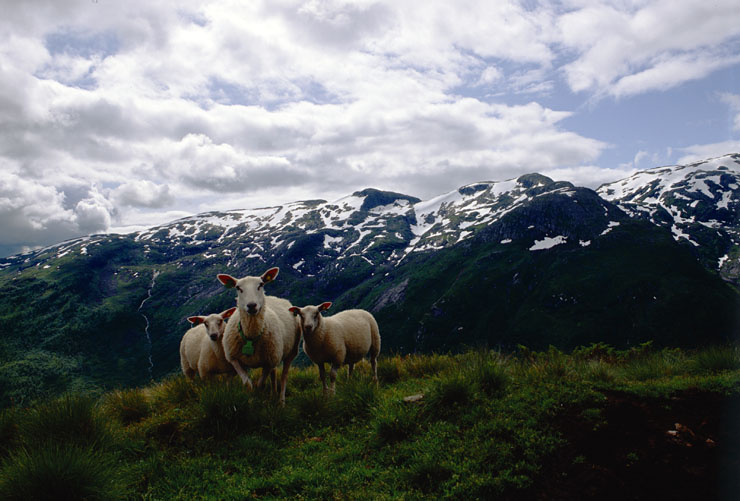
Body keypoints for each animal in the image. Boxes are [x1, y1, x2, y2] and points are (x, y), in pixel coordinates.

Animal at [217, 266, 300, 402]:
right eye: (238, 288)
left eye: (260, 284)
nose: (251, 305)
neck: (251, 336)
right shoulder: (234, 359)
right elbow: (248, 384)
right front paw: (250, 400)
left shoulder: (268, 362)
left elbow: (260, 384)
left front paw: (257, 397)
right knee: (274, 374)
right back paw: (273, 394)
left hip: (289, 353)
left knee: (283, 377)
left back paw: (281, 401)